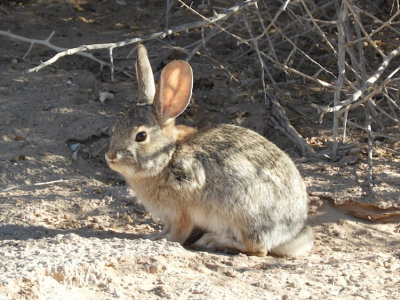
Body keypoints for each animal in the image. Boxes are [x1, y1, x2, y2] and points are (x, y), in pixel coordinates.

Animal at [105, 44, 312, 258]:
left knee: (257, 248)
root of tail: (290, 235)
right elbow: (167, 228)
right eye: (115, 128)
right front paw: (155, 235)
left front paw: (161, 239)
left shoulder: (182, 210)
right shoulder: (169, 216)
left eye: (141, 136)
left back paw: (213, 241)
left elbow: (178, 233)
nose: (110, 156)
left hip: (243, 212)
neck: (168, 156)